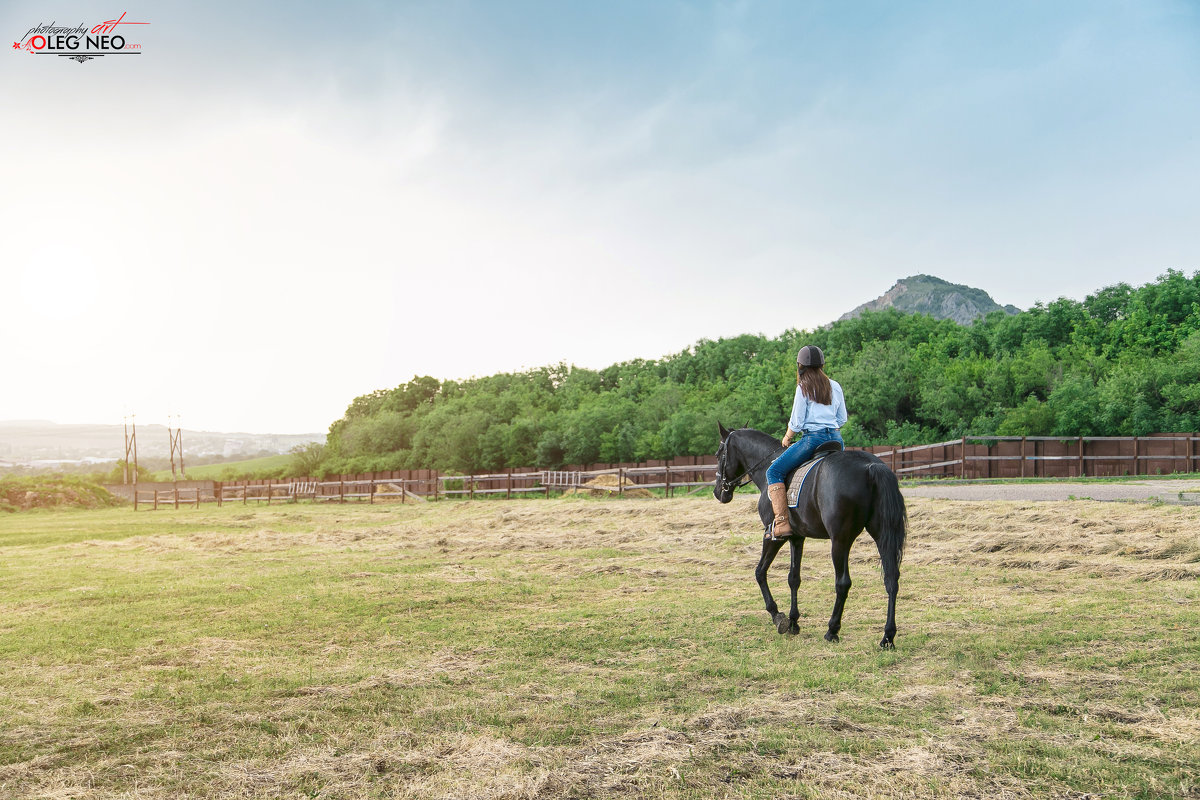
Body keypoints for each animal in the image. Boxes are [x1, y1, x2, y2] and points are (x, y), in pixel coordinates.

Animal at [710, 422, 907, 647]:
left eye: (719, 454)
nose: (718, 492)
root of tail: (870, 466)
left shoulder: (773, 536)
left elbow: (760, 572)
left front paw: (778, 616)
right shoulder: (797, 538)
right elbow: (794, 578)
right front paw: (794, 622)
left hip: (840, 540)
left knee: (843, 583)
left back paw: (832, 630)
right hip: (882, 534)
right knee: (891, 578)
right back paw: (888, 636)